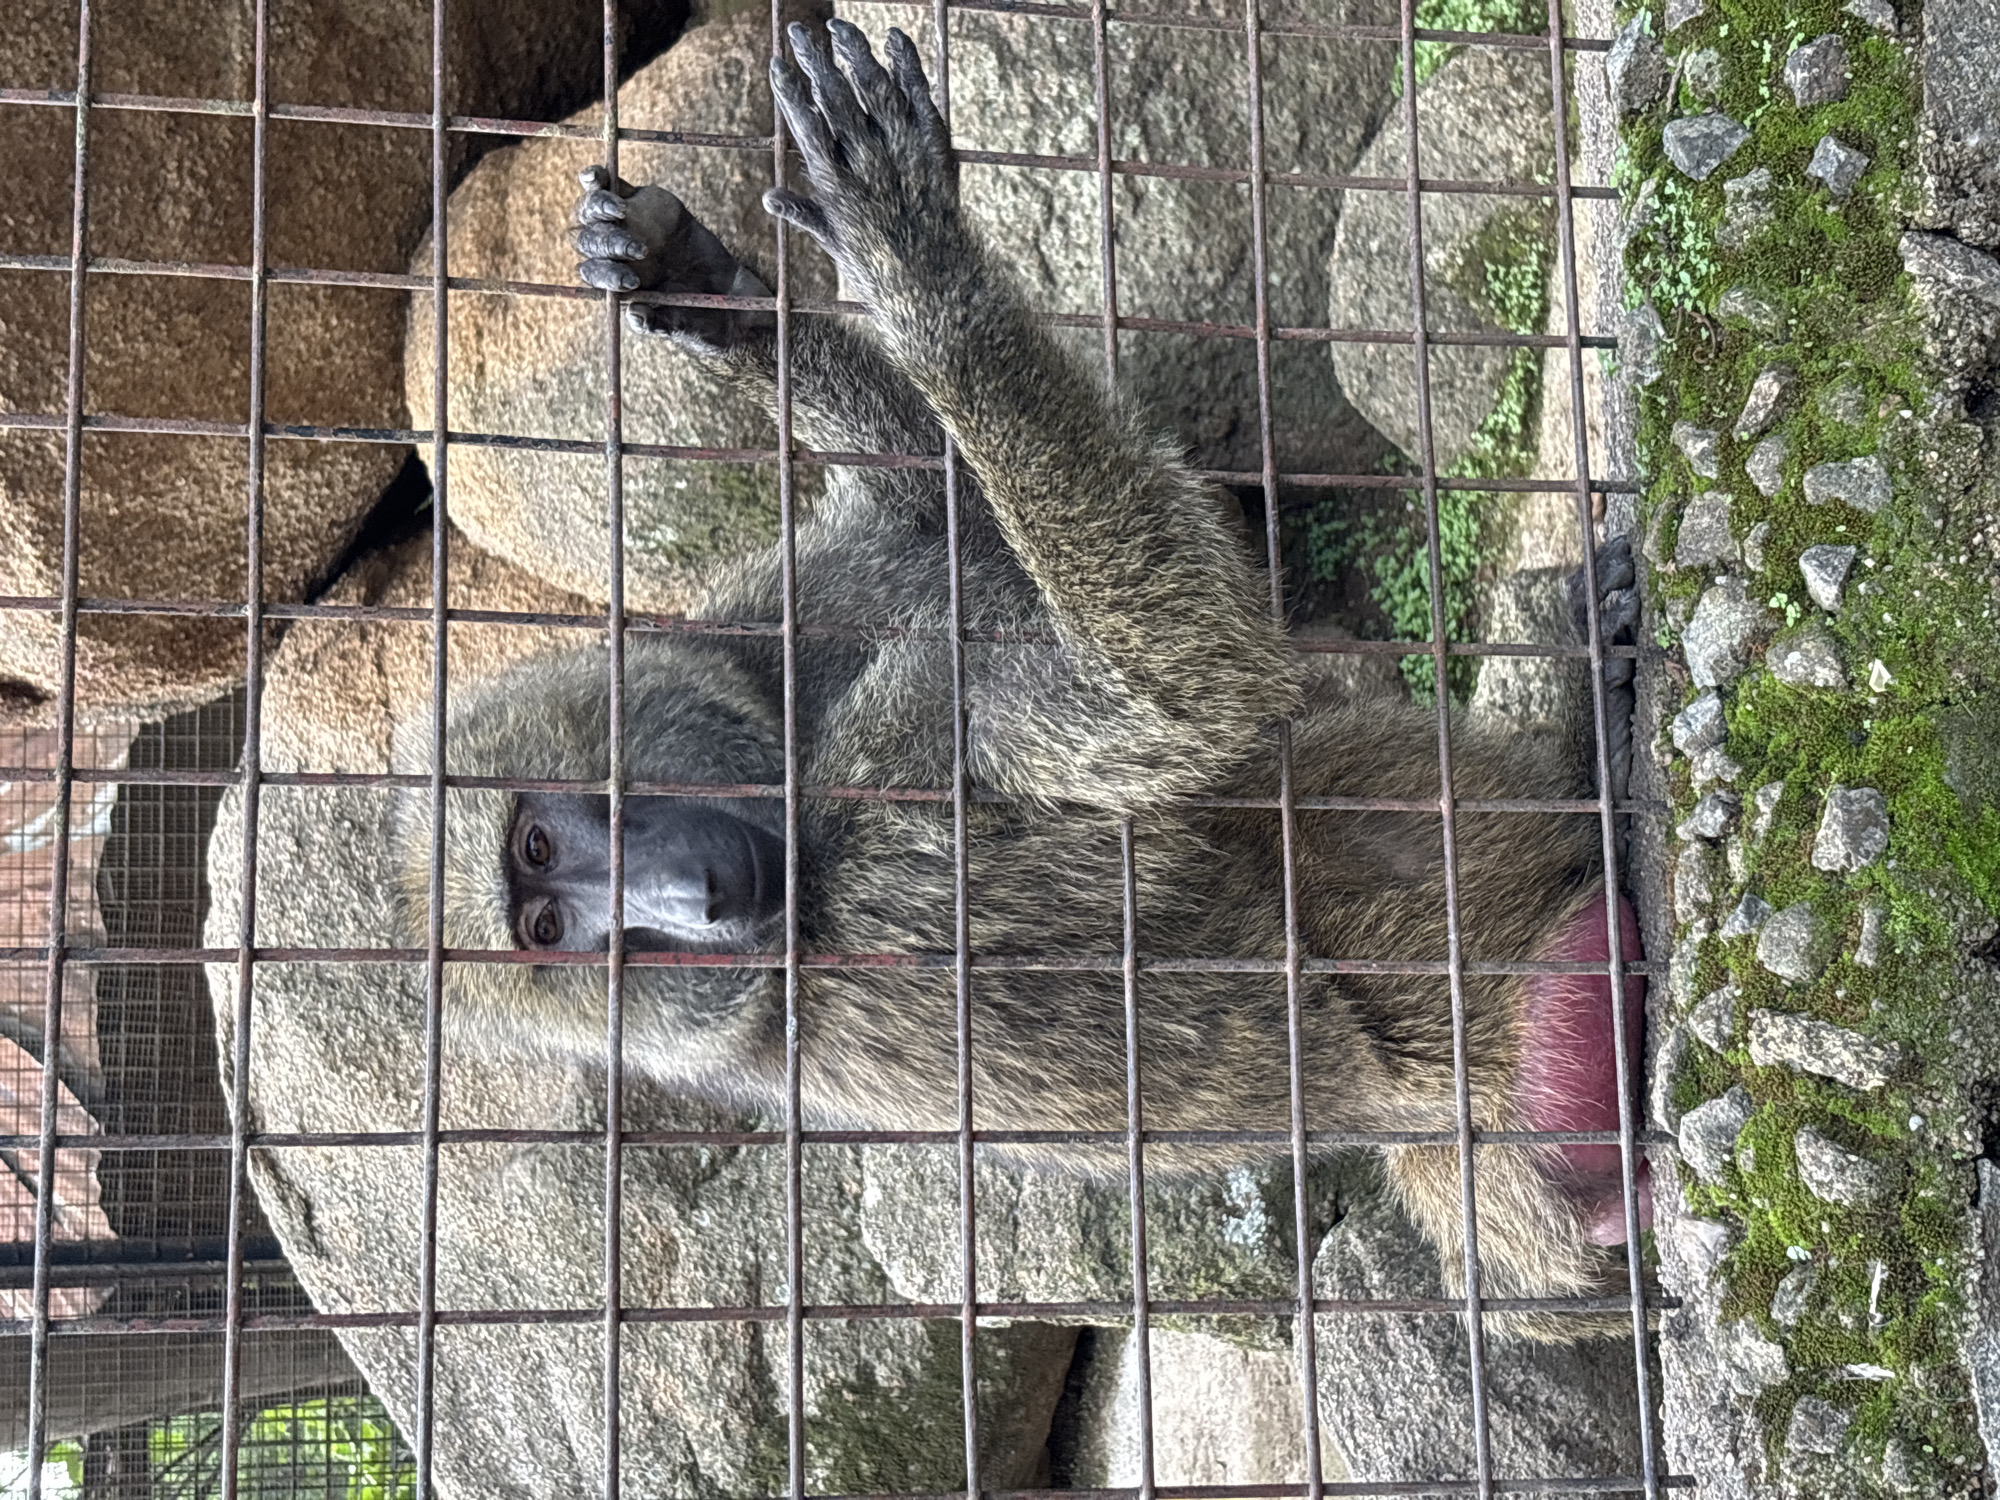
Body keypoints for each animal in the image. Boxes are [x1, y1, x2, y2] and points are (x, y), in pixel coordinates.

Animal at [395, 20, 1648, 1341]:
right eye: (550, 927)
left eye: (534, 851)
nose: (698, 902)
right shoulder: (902, 827)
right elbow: (1188, 691)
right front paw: (919, 267)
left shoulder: (776, 629)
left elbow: (948, 528)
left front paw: (704, 290)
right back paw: (1594, 743)